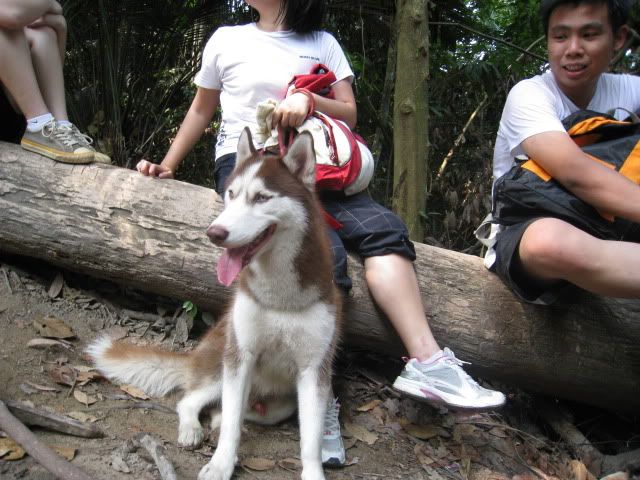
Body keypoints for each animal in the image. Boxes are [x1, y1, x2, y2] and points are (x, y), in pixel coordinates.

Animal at [87, 128, 342, 480]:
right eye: (231, 194)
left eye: (261, 198)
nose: (214, 233)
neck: (279, 296)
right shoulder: (240, 355)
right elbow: (231, 423)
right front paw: (221, 464)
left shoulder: (313, 370)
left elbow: (310, 439)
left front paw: (313, 472)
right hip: (221, 364)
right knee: (190, 401)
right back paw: (192, 428)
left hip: (282, 400)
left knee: (240, 410)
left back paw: (219, 418)